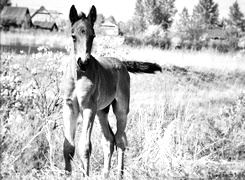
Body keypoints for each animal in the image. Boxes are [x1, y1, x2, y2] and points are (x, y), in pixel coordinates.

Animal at [62, 4, 162, 179]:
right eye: (73, 36)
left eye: (93, 36)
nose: (83, 62)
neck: (78, 77)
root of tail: (121, 63)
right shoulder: (69, 107)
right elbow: (68, 147)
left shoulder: (88, 108)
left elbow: (85, 147)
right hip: (102, 111)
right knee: (109, 139)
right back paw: (105, 174)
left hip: (120, 109)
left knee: (120, 140)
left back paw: (119, 174)